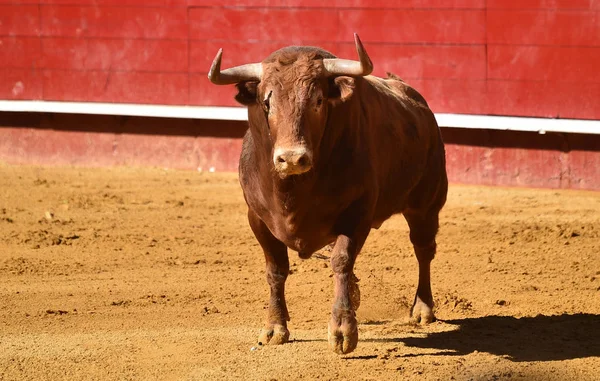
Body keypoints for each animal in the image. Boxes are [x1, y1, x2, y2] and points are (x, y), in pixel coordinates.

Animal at [209, 33, 448, 354]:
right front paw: (274, 327)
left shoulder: (357, 213)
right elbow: (276, 269)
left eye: (318, 101)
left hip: (426, 206)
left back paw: (422, 309)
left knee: (423, 250)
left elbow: (342, 261)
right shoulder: (257, 219)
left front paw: (343, 329)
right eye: (266, 102)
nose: (292, 159)